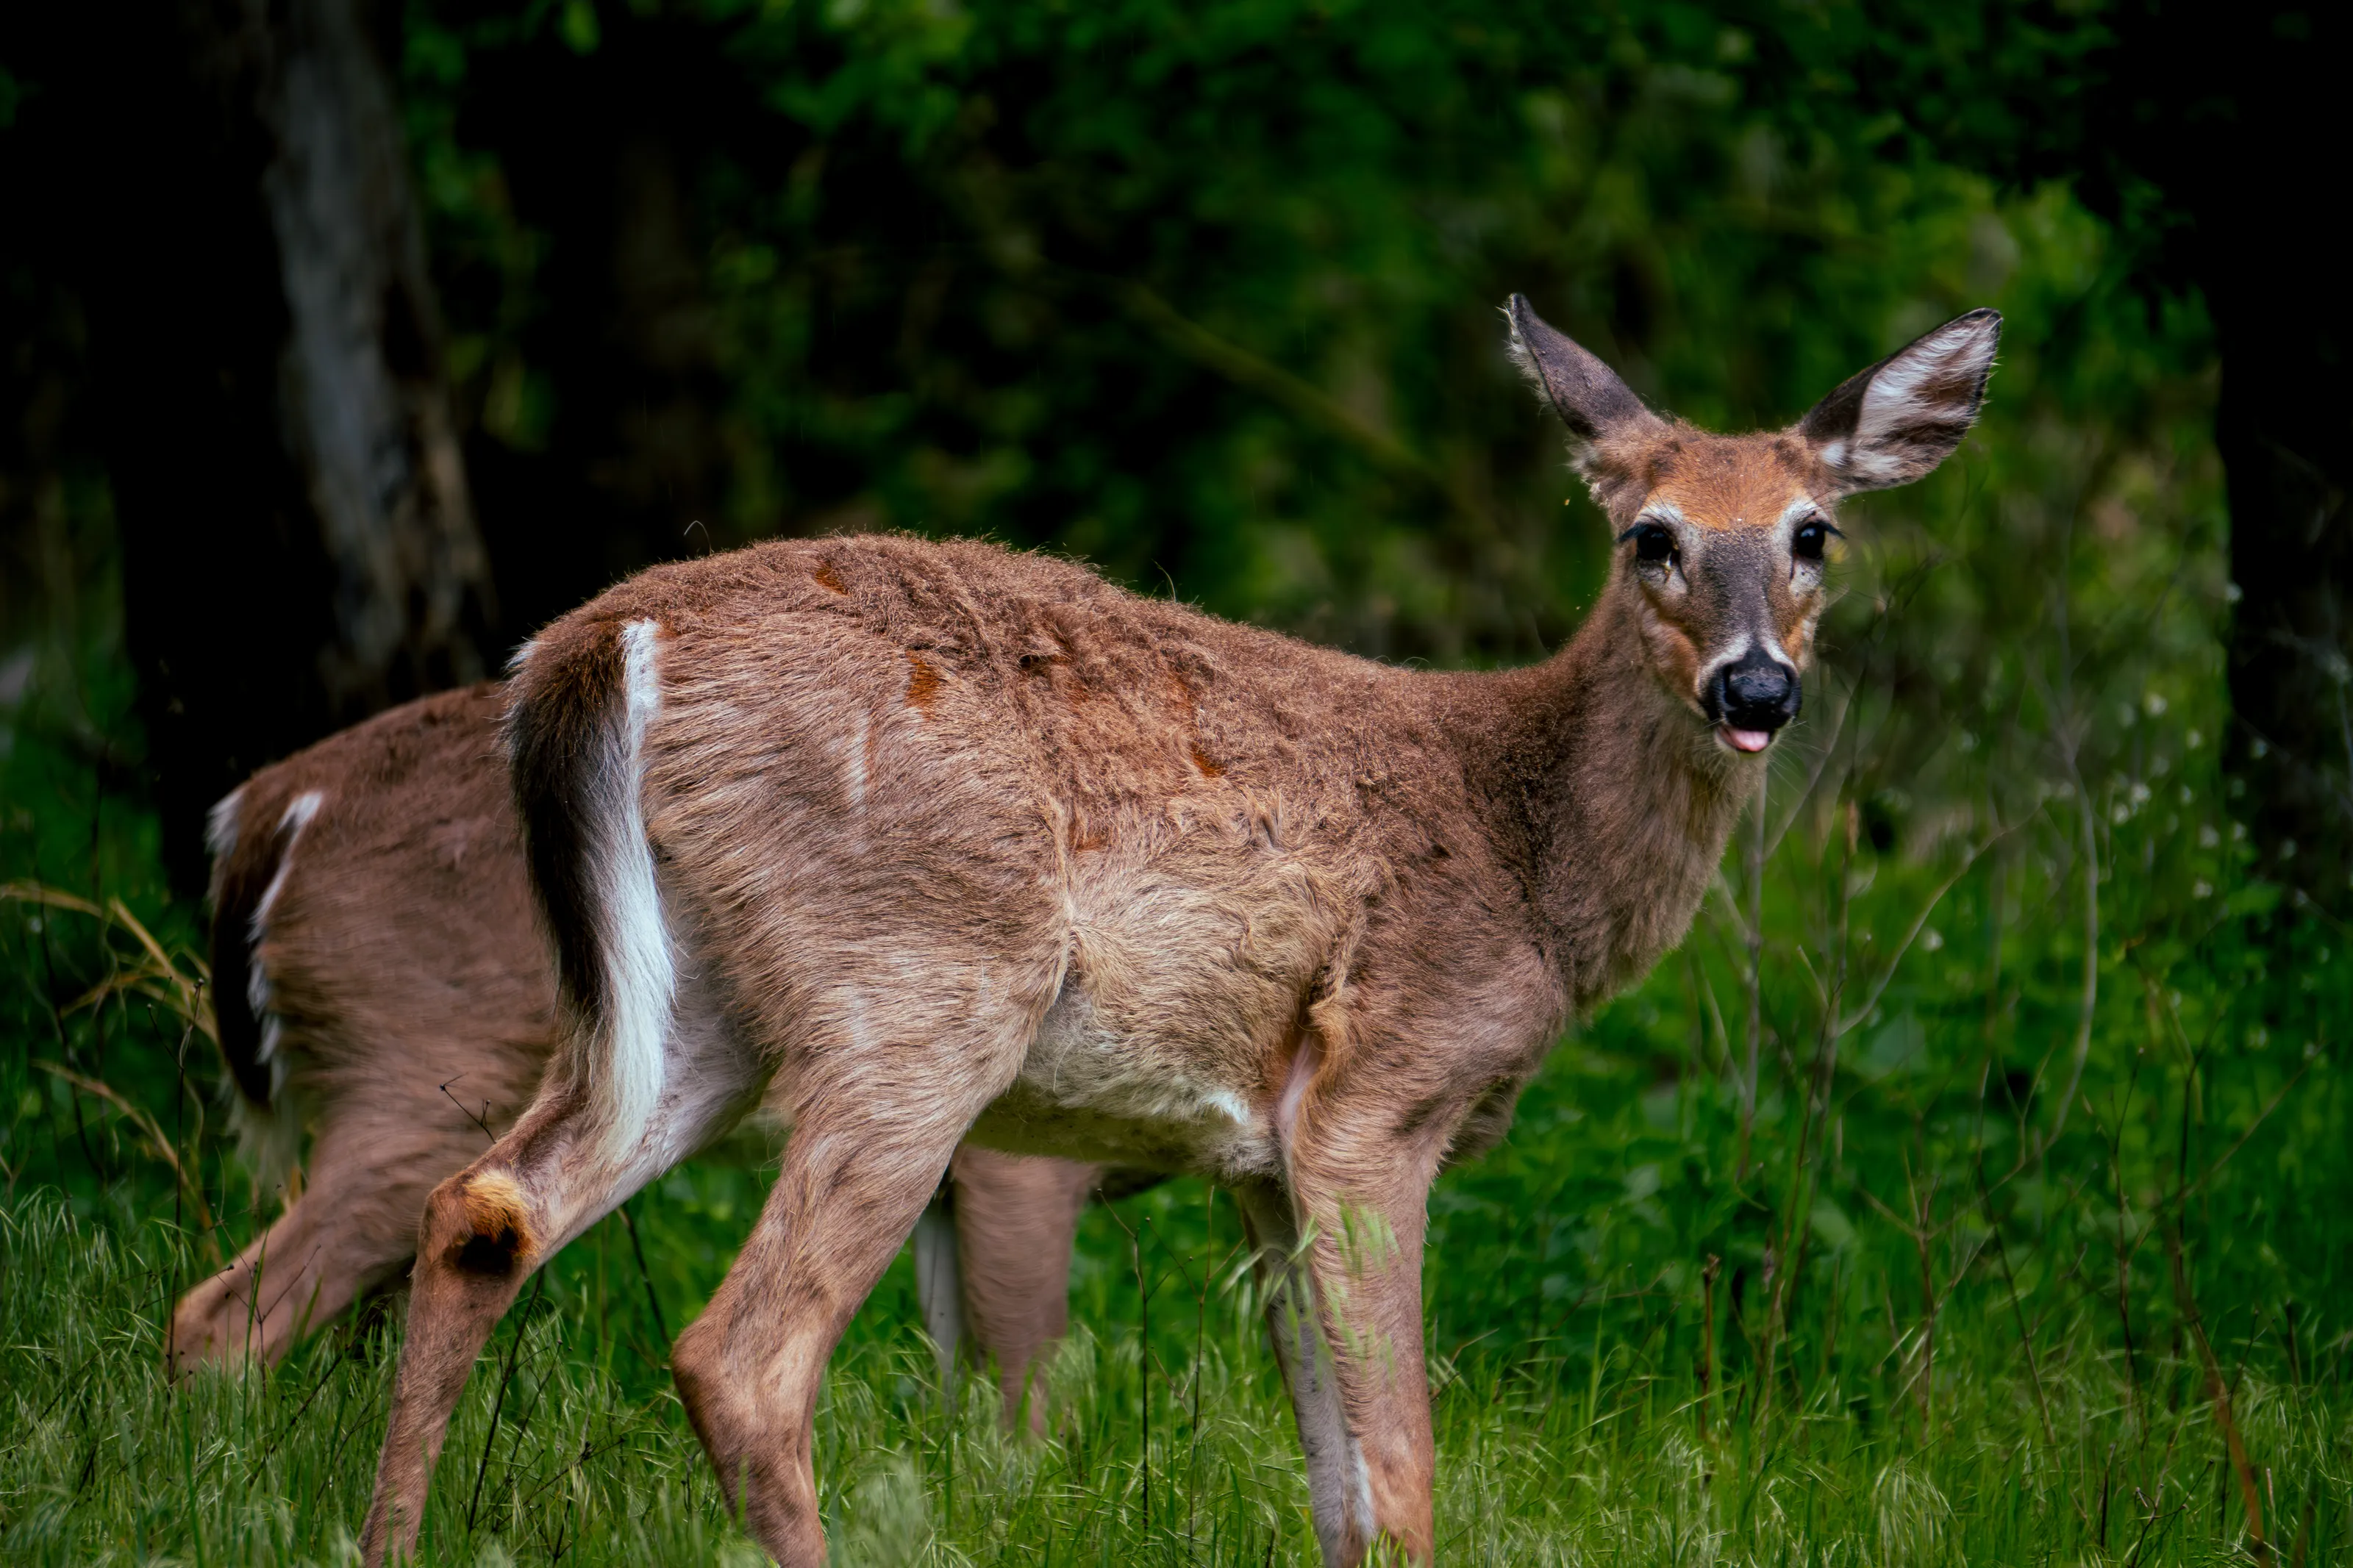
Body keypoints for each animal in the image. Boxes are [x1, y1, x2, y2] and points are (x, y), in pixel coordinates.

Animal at [173, 681, 1116, 1429]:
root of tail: (267, 815)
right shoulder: (1018, 1157)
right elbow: (1025, 1390)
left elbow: (958, 1389)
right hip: (415, 1082)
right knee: (219, 1318)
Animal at [356, 297, 2000, 1565]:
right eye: (1649, 536)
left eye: (1814, 533)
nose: (1755, 688)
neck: (1530, 855)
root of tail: (595, 645)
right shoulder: (1370, 1098)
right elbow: (1404, 1477)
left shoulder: (1262, 1160)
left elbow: (1336, 1491)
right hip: (920, 988)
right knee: (743, 1354)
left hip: (706, 1010)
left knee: (483, 1210)